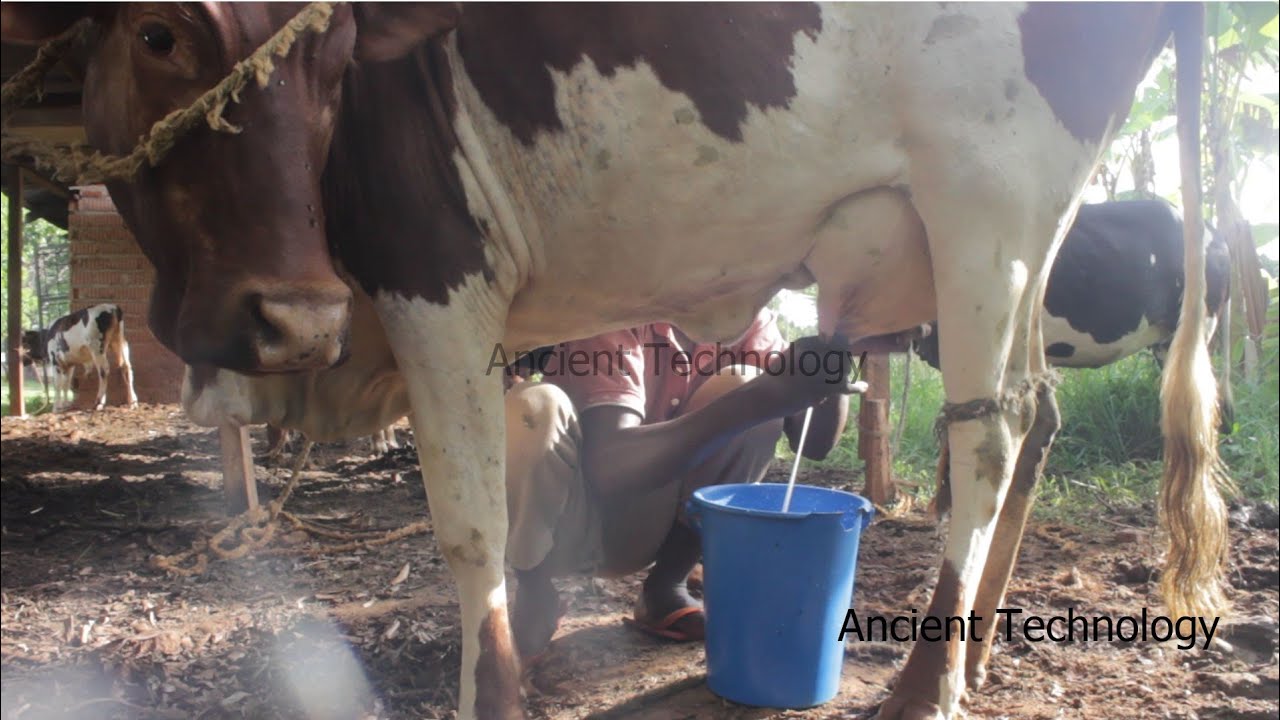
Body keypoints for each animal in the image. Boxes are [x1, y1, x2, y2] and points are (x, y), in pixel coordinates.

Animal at [2, 5, 1229, 719]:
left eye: (337, 56)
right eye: (157, 36)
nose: (291, 316)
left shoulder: (432, 280)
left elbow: (467, 532)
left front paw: (490, 698)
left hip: (987, 201)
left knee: (988, 432)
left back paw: (926, 691)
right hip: (1020, 241)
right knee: (1033, 416)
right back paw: (969, 658)